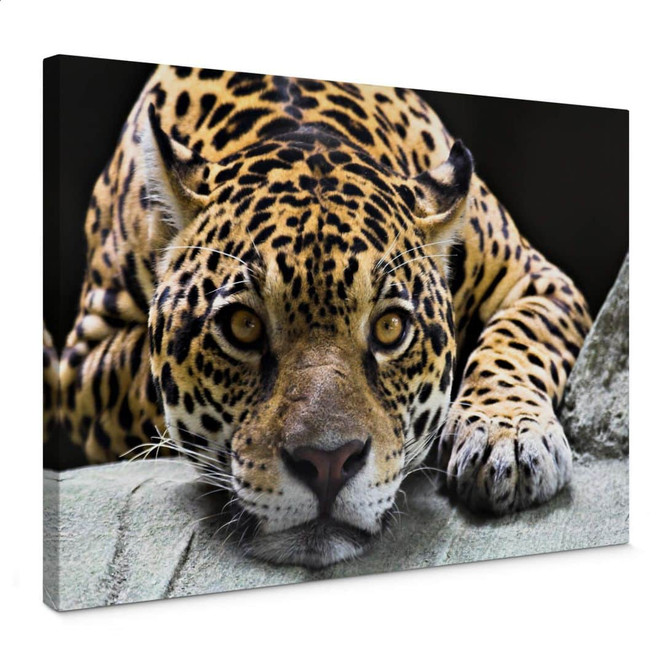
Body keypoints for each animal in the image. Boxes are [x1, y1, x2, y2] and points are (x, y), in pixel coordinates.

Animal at [51, 65, 592, 568]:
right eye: (243, 327)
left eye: (390, 328)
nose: (328, 463)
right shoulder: (82, 364)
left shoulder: (535, 279)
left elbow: (518, 341)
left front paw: (509, 439)